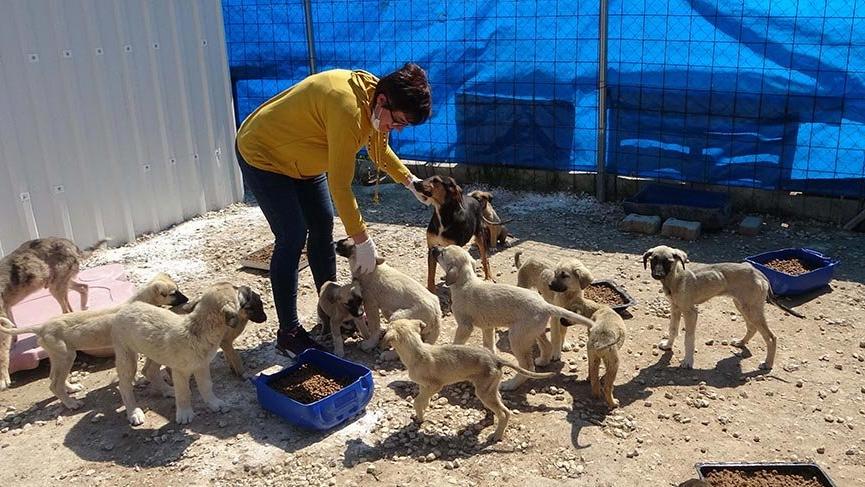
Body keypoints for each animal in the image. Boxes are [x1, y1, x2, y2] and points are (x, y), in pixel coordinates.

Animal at [0, 236, 109, 388]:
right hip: (61, 283)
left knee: (68, 309)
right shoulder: (7, 309)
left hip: (56, 287)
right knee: (83, 287)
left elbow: (2, 353)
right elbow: (12, 328)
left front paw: (3, 378)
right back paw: (83, 308)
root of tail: (70, 243)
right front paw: (13, 343)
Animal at [0, 272, 187, 410]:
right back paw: (71, 403)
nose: (187, 300)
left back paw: (71, 388)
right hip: (66, 356)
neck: (138, 301)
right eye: (173, 293)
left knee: (54, 378)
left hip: (58, 356)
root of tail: (41, 327)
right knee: (54, 385)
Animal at [384, 318, 552, 444]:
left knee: (505, 413)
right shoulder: (423, 386)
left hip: (484, 392)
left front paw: (420, 418)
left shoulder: (435, 386)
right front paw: (421, 414)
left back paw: (497, 435)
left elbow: (417, 401)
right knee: (499, 403)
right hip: (490, 389)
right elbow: (422, 400)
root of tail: (496, 359)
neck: (416, 350)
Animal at [432, 246, 592, 390]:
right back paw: (542, 361)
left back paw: (510, 385)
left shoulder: (465, 326)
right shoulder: (488, 327)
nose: (433, 248)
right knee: (547, 346)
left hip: (517, 337)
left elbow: (457, 342)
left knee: (528, 366)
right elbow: (489, 346)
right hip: (533, 331)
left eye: (442, 252)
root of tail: (545, 304)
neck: (465, 282)